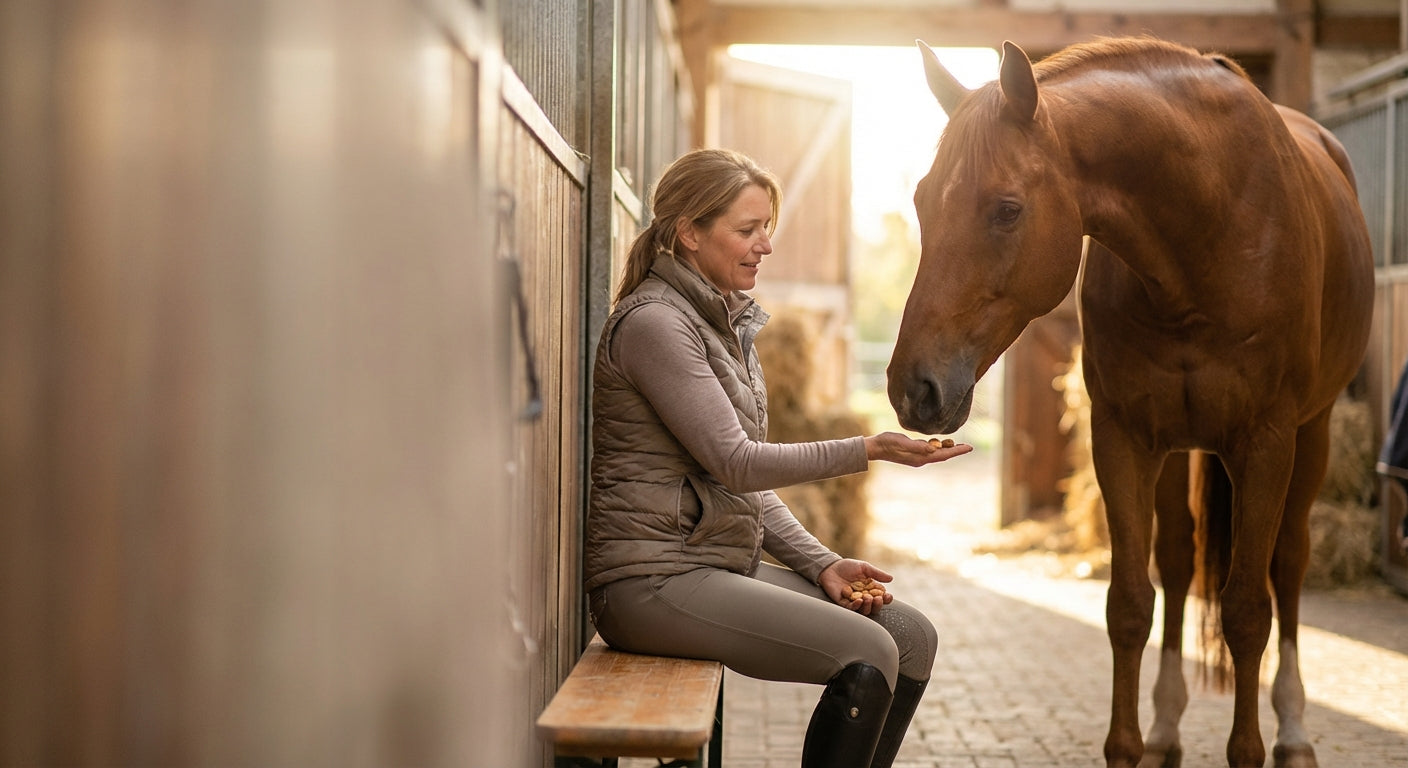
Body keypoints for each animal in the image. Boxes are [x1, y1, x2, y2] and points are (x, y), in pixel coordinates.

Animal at [887, 37, 1374, 768]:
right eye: (922, 201)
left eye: (1007, 208)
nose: (911, 387)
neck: (1211, 227)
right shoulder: (1122, 436)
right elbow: (1129, 605)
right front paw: (1130, 744)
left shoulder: (1266, 443)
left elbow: (1246, 611)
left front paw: (1250, 748)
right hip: (1178, 448)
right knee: (1176, 560)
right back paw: (1168, 726)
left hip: (1311, 437)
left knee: (1288, 566)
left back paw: (1292, 731)